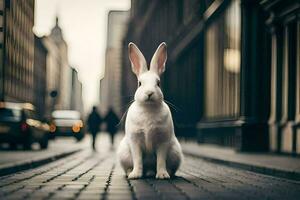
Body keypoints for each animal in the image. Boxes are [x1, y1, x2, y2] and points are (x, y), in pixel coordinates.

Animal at [117, 42, 183, 180]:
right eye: (139, 83)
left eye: (158, 83)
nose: (149, 93)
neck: (148, 107)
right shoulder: (135, 141)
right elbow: (137, 159)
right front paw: (135, 175)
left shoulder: (163, 141)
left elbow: (161, 160)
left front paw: (162, 175)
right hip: (124, 153)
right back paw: (131, 173)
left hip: (175, 153)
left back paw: (163, 173)